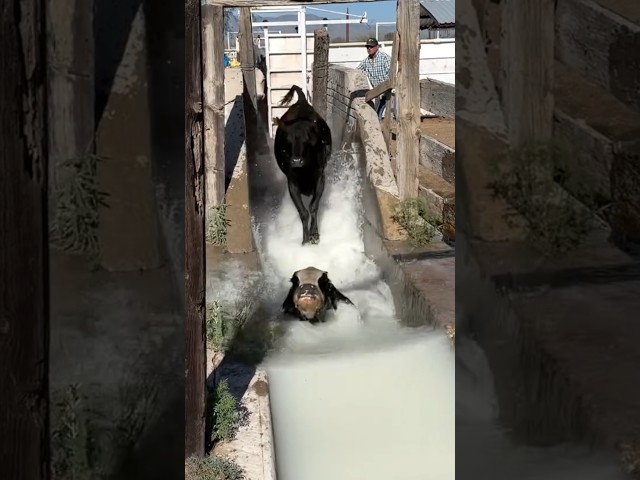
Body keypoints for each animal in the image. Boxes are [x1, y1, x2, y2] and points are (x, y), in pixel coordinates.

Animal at [274, 84, 332, 245]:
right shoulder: (292, 182)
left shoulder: (320, 177)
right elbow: (303, 212)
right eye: (287, 141)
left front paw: (314, 234)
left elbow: (313, 207)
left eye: (308, 140)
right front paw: (305, 240)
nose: (296, 161)